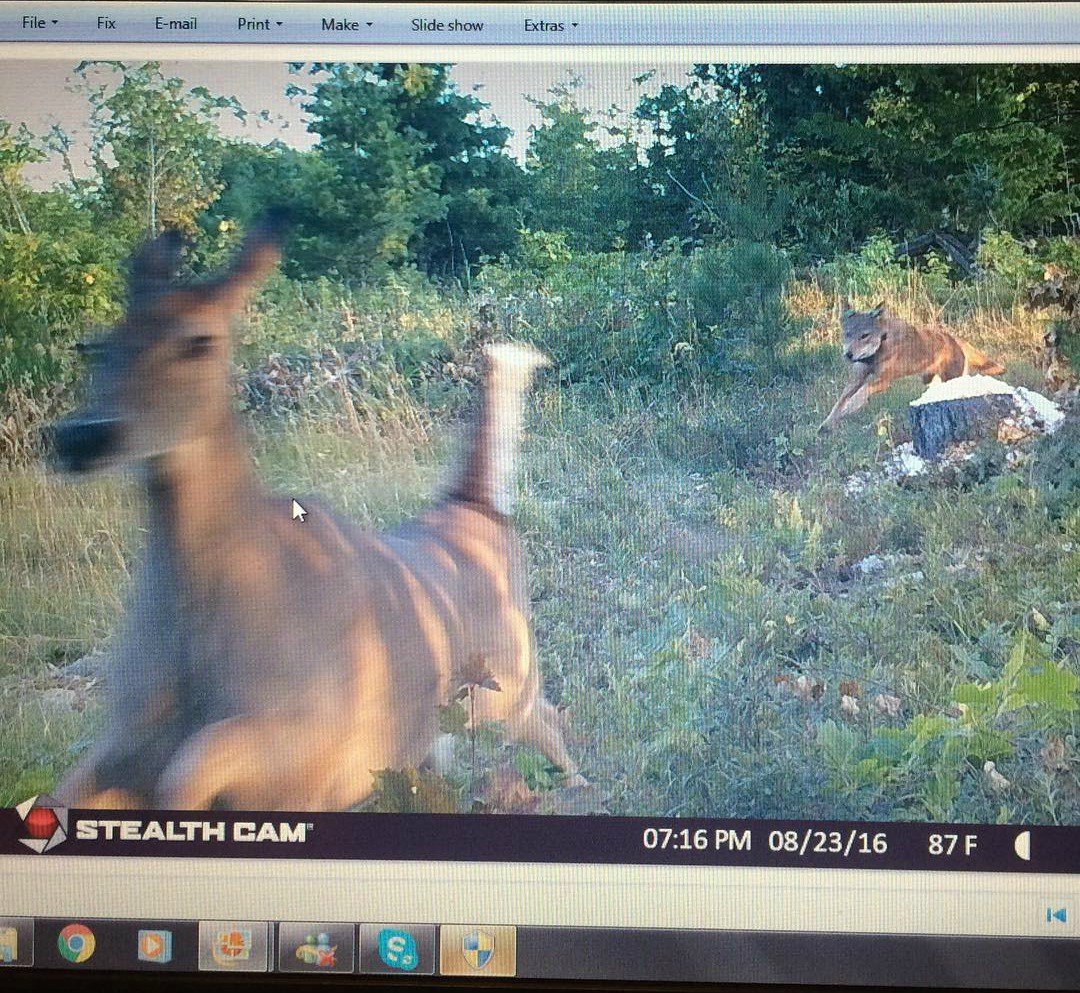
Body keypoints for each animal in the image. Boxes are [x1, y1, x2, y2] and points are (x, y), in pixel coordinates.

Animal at [52, 213, 583, 811]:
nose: (82, 436)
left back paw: (580, 788)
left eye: (198, 341)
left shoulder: (312, 744)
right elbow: (73, 787)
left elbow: (194, 765)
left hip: (505, 684)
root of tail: (477, 507)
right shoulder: (127, 734)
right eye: (95, 346)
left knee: (547, 722)